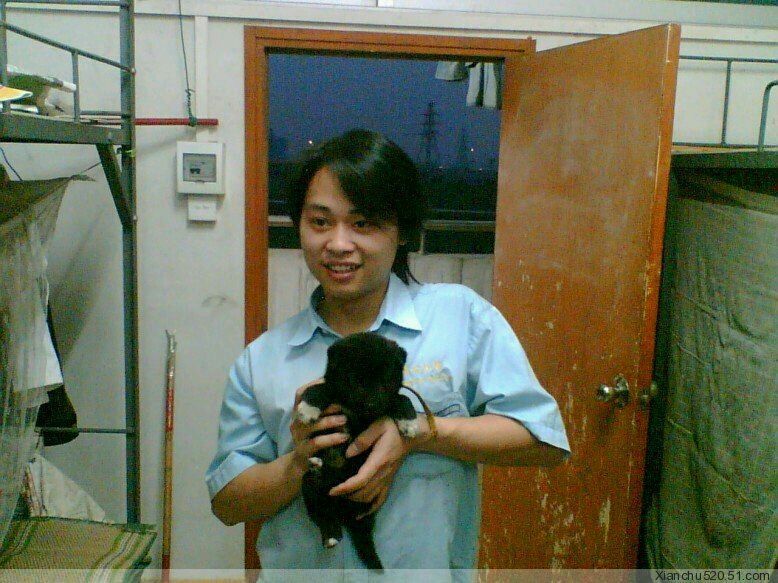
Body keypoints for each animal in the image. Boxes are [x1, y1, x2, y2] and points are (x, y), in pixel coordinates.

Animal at [295, 332, 420, 571]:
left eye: (385, 379)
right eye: (353, 380)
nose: (371, 405)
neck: (360, 414)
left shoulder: (387, 401)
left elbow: (401, 397)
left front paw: (409, 421)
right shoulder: (334, 394)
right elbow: (320, 388)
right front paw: (308, 408)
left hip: (365, 500)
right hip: (310, 487)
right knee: (322, 514)